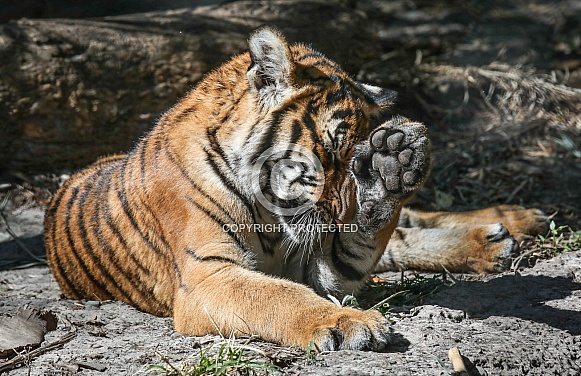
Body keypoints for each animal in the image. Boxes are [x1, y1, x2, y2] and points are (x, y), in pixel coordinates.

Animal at [43, 27, 548, 352]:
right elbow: (277, 296)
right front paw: (349, 323)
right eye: (328, 153)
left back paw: (516, 221)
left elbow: (365, 240)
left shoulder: (319, 259)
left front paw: (393, 164)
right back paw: (498, 239)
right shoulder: (210, 275)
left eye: (355, 159)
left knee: (408, 226)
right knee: (402, 241)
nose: (344, 214)